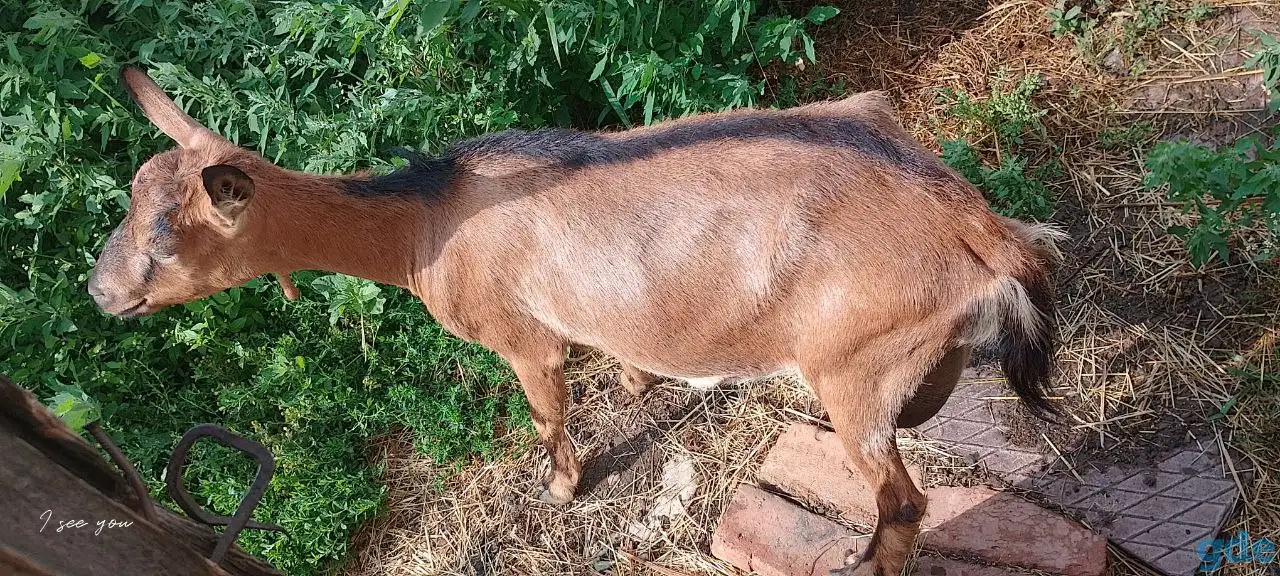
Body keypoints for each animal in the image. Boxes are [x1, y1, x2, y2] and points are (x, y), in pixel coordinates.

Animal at [89, 66, 1063, 576]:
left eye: (167, 238)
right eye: (132, 199)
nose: (100, 293)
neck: (426, 221)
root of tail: (981, 230)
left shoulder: (520, 338)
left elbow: (548, 414)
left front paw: (561, 488)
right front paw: (637, 381)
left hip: (851, 371)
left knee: (903, 501)